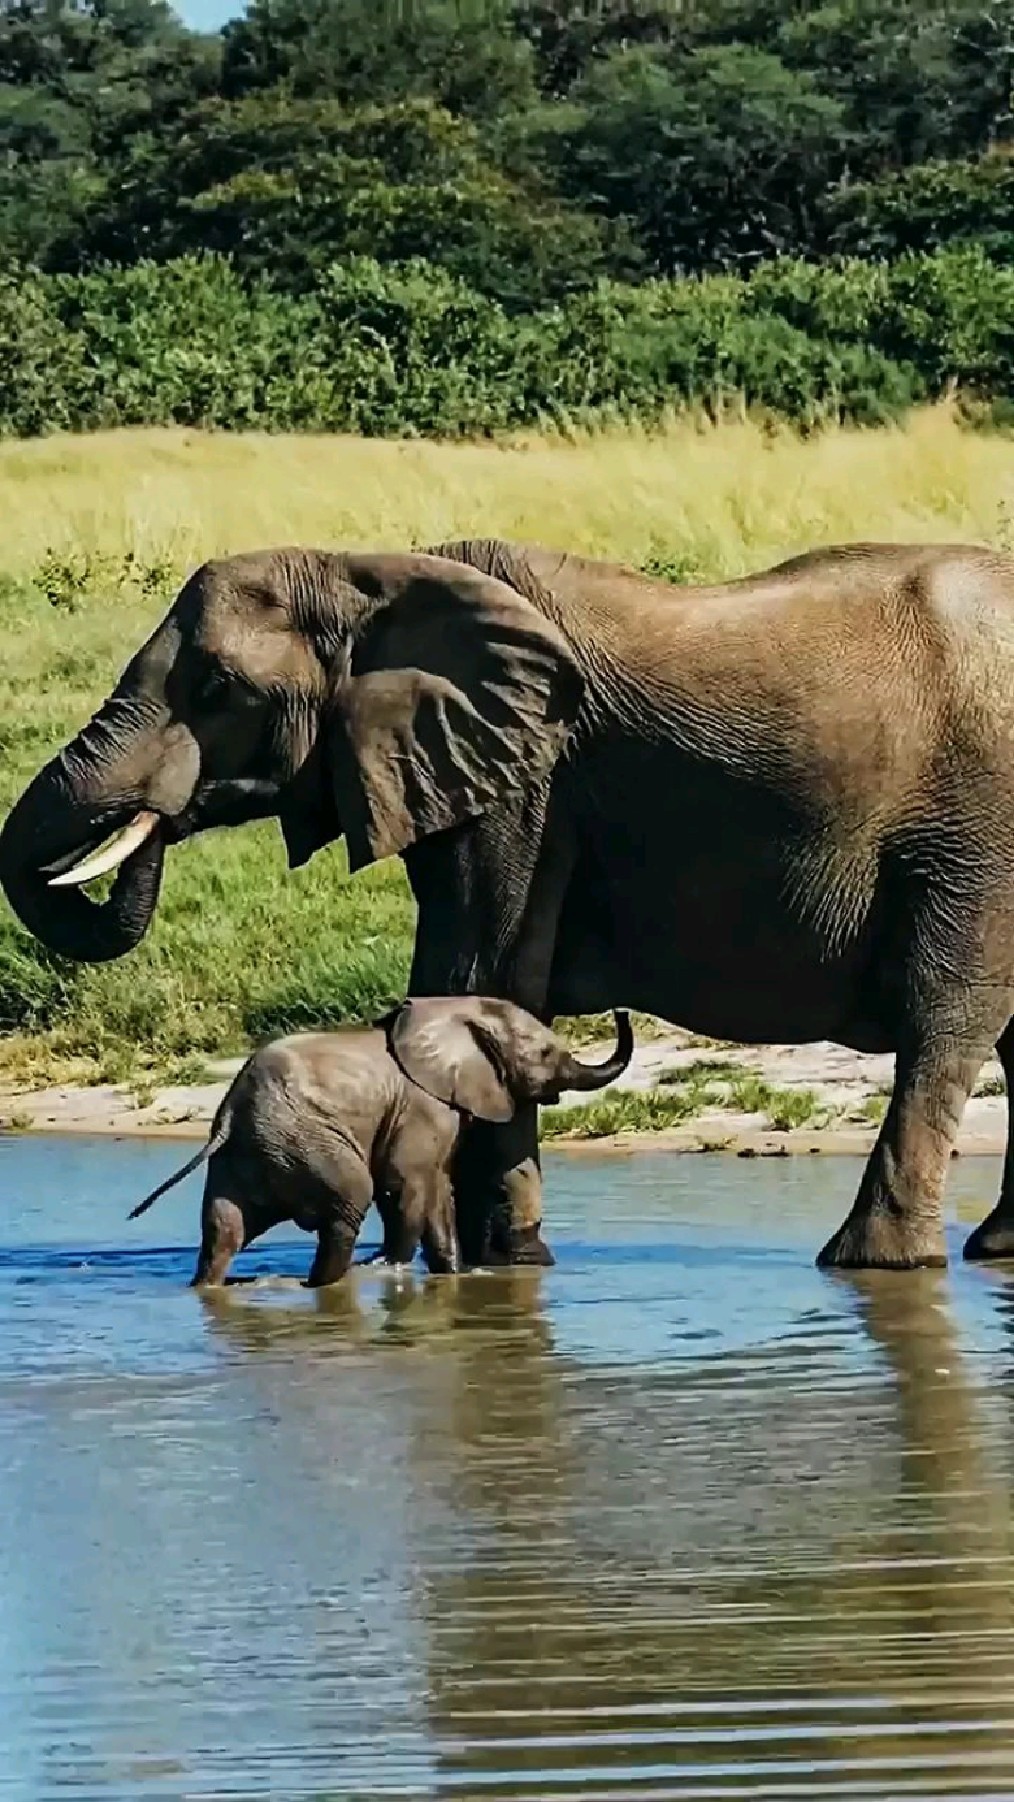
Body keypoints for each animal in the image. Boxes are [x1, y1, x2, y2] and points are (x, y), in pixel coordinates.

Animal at [125, 997, 633, 1287]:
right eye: (545, 1053)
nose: (620, 1007)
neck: (454, 1011)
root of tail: (230, 1113)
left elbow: (437, 1190)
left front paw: (457, 1276)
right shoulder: (424, 1105)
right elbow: (407, 1186)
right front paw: (392, 1268)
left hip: (246, 1154)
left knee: (222, 1229)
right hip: (306, 1139)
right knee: (348, 1205)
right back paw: (327, 1284)